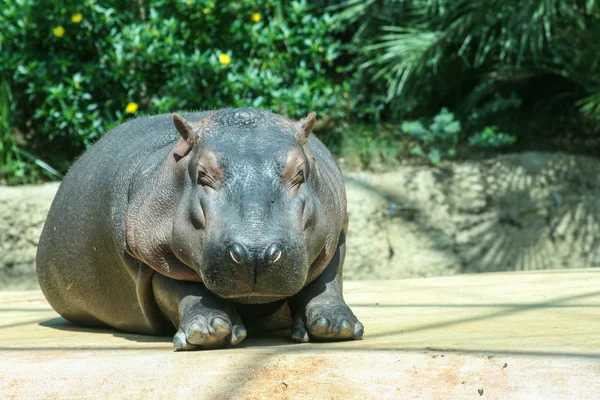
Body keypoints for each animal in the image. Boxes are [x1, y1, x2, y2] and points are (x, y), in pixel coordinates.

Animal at [38, 108, 366, 348]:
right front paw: (209, 329)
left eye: (299, 173)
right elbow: (182, 288)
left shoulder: (335, 234)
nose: (256, 252)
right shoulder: (151, 254)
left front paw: (335, 325)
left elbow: (327, 279)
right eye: (203, 174)